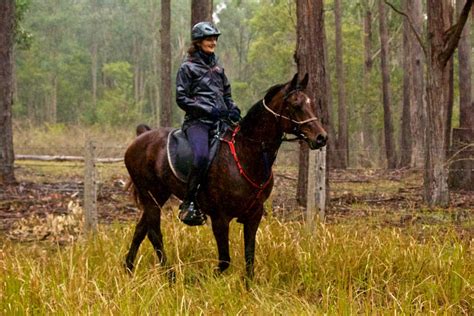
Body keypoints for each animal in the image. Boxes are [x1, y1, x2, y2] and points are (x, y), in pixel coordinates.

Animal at [124, 73, 328, 278]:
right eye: (295, 105)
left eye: (311, 103)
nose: (321, 137)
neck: (246, 154)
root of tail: (140, 138)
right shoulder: (220, 218)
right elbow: (224, 261)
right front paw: (201, 279)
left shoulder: (254, 215)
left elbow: (249, 259)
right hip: (150, 195)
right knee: (154, 233)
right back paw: (170, 275)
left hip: (159, 195)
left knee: (141, 229)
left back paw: (129, 268)